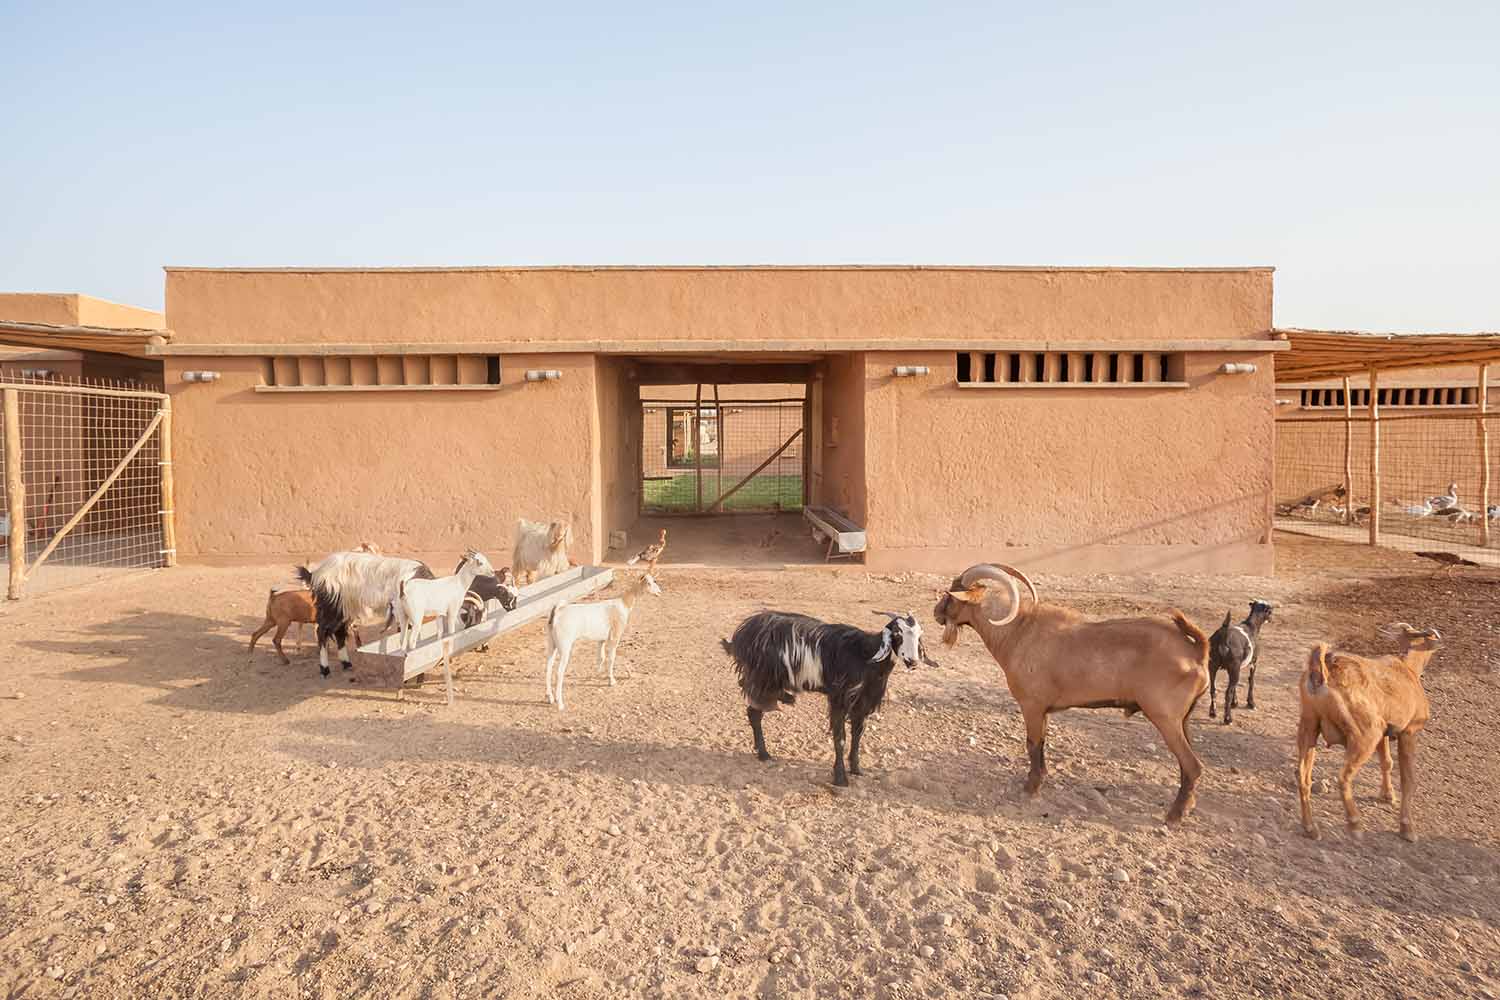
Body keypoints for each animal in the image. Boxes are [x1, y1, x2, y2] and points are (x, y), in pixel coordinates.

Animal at [294, 548, 432, 680]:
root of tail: (315, 574)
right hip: (332, 607)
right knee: (323, 632)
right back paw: (325, 670)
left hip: (345, 609)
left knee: (339, 632)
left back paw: (346, 664)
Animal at [540, 569, 657, 710]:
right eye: (649, 582)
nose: (659, 591)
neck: (623, 604)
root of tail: (558, 612)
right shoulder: (615, 636)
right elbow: (612, 658)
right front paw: (612, 681)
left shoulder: (602, 640)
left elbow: (601, 657)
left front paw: (599, 673)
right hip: (564, 646)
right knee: (559, 672)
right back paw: (560, 703)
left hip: (552, 644)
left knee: (548, 668)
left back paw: (550, 698)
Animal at [723, 611, 936, 791]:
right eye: (898, 634)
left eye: (919, 635)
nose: (913, 661)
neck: (865, 655)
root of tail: (743, 632)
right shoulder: (839, 699)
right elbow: (840, 738)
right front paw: (840, 778)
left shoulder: (862, 703)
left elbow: (858, 735)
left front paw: (856, 769)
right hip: (762, 681)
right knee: (754, 713)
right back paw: (764, 754)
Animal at [930, 566, 1212, 827]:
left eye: (951, 594)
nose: (936, 613)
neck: (1018, 632)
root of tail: (1196, 652)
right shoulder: (1043, 710)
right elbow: (1042, 744)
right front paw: (1041, 778)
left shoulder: (1031, 706)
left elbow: (1032, 745)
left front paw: (1030, 787)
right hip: (1182, 720)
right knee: (1187, 767)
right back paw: (1187, 806)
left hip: (1165, 717)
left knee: (1192, 765)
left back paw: (1174, 816)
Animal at [1290, 626, 1440, 845]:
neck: (1408, 670)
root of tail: (1322, 674)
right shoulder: (1408, 732)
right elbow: (1408, 780)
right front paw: (1407, 829)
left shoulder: (1385, 734)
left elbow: (1386, 762)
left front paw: (1387, 795)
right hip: (1365, 735)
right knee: (1343, 777)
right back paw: (1355, 825)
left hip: (1309, 726)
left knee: (1303, 777)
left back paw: (1311, 829)